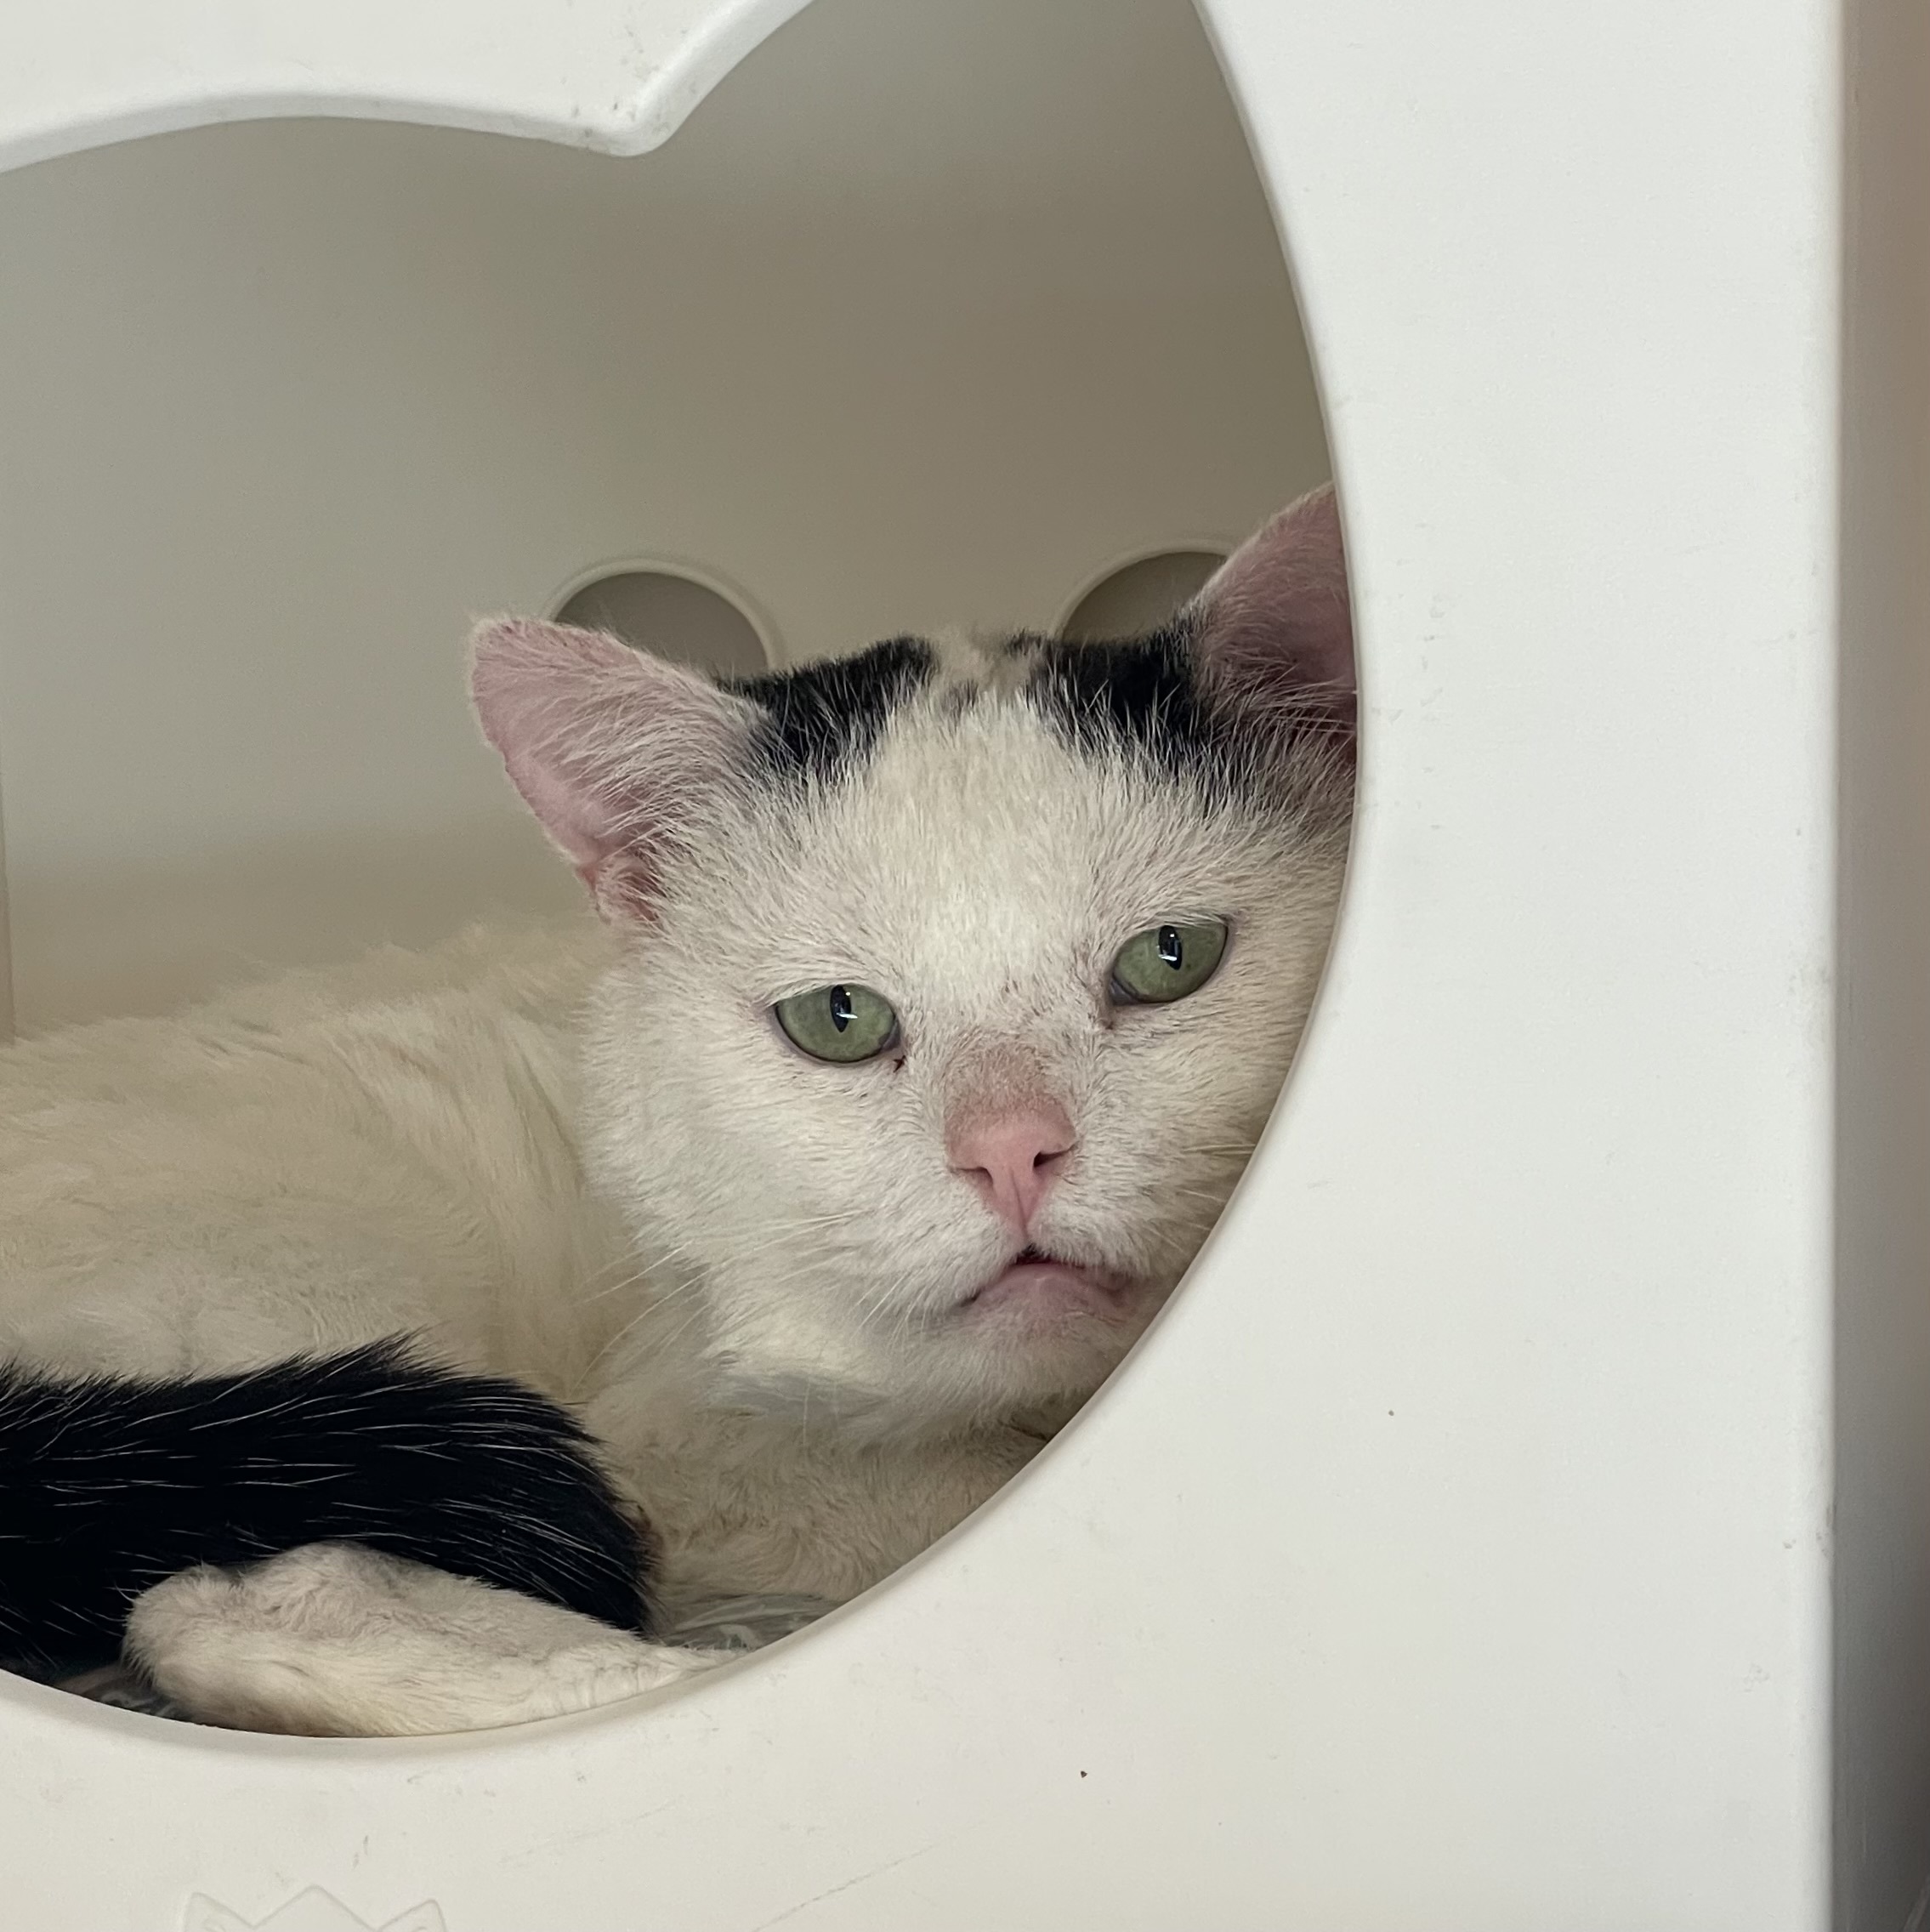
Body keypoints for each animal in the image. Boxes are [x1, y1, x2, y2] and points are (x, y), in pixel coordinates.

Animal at [0, 479, 1360, 1738]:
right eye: (837, 1019)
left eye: (1170, 956)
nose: (1010, 1152)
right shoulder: (684, 1440)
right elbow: (948, 1489)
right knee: (235, 1603)